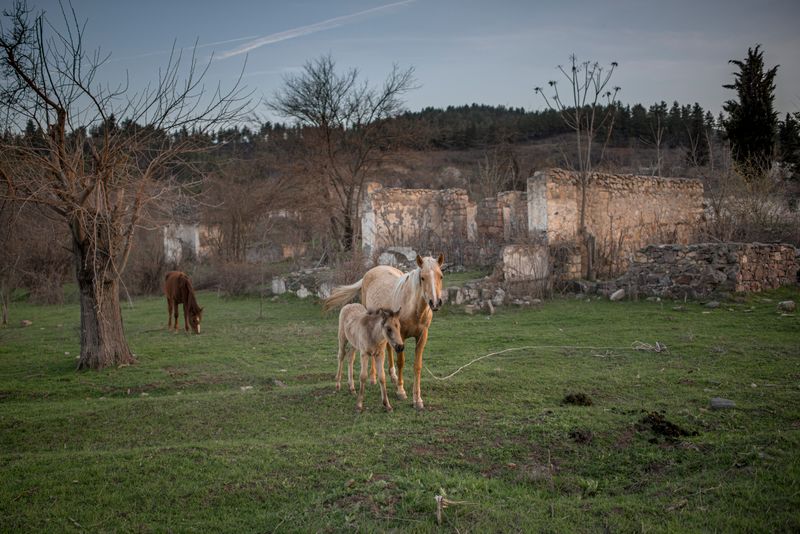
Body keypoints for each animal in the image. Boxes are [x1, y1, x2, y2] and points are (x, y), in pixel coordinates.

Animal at [324, 254, 444, 410]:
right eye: (422, 277)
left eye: (441, 276)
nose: (435, 302)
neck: (413, 307)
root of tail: (371, 271)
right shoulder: (401, 335)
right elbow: (401, 362)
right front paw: (400, 391)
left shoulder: (422, 335)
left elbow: (417, 366)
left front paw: (417, 399)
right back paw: (374, 377)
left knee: (387, 347)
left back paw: (392, 377)